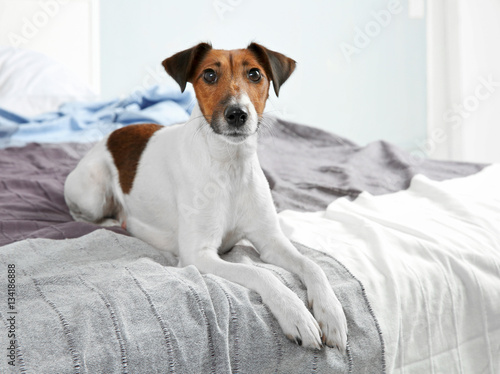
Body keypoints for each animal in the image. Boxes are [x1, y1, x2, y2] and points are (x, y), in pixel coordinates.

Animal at [64, 43, 348, 350]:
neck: (230, 165)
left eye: (255, 74)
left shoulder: (271, 240)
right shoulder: (198, 254)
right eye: (209, 74)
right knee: (81, 212)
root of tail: (112, 134)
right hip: (93, 193)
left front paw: (331, 312)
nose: (237, 114)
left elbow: (312, 265)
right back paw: (113, 221)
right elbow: (261, 272)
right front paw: (295, 312)